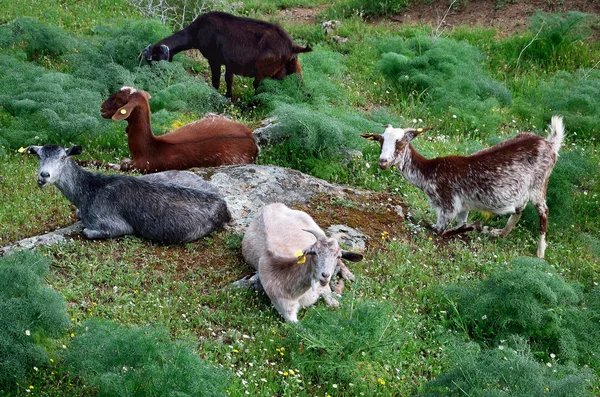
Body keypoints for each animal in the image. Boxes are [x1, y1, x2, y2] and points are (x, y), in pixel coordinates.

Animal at [27, 144, 231, 243]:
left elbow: (88, 231)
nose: (43, 176)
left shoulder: (113, 223)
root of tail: (224, 206)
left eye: (63, 157)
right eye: (39, 156)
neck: (87, 192)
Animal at [100, 86, 258, 172]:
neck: (146, 150)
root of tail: (253, 142)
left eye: (119, 101)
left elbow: (116, 165)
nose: (101, 108)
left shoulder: (141, 167)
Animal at [139, 11, 310, 98]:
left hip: (264, 71)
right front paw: (228, 97)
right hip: (293, 68)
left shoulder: (214, 60)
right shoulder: (229, 64)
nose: (155, 78)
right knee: (302, 87)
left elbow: (216, 81)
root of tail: (292, 46)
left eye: (154, 59)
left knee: (259, 88)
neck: (197, 30)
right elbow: (228, 80)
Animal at [364, 115, 564, 256]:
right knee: (518, 209)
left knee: (543, 211)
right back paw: (498, 233)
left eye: (400, 143)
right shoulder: (463, 206)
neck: (430, 172)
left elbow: (439, 231)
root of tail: (550, 144)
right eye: (380, 141)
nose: (382, 162)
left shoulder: (448, 204)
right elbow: (460, 224)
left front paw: (478, 226)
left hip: (539, 184)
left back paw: (540, 252)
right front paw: (474, 228)